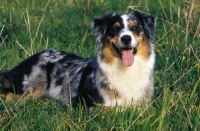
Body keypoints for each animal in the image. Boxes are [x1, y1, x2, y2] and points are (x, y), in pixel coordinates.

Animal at [0, 11, 156, 109]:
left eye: (135, 28)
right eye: (115, 29)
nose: (126, 38)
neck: (126, 69)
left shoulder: (143, 104)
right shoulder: (90, 103)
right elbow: (110, 110)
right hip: (35, 83)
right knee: (11, 96)